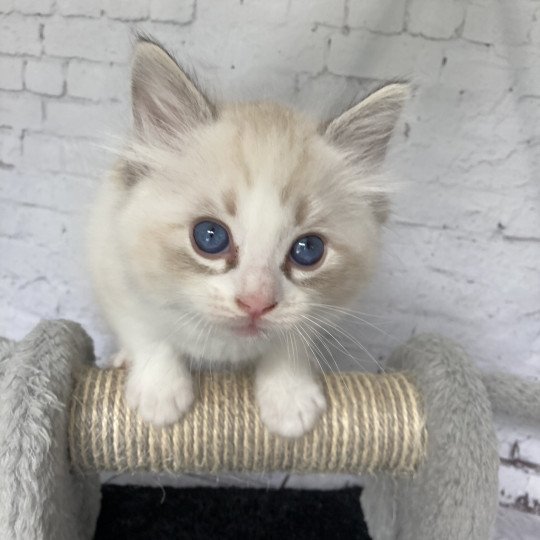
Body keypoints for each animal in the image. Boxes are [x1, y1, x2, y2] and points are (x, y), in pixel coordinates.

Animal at [88, 38, 408, 436]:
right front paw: (158, 395)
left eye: (308, 249)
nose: (256, 303)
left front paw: (289, 398)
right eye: (210, 236)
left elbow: (292, 341)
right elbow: (146, 332)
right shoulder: (111, 261)